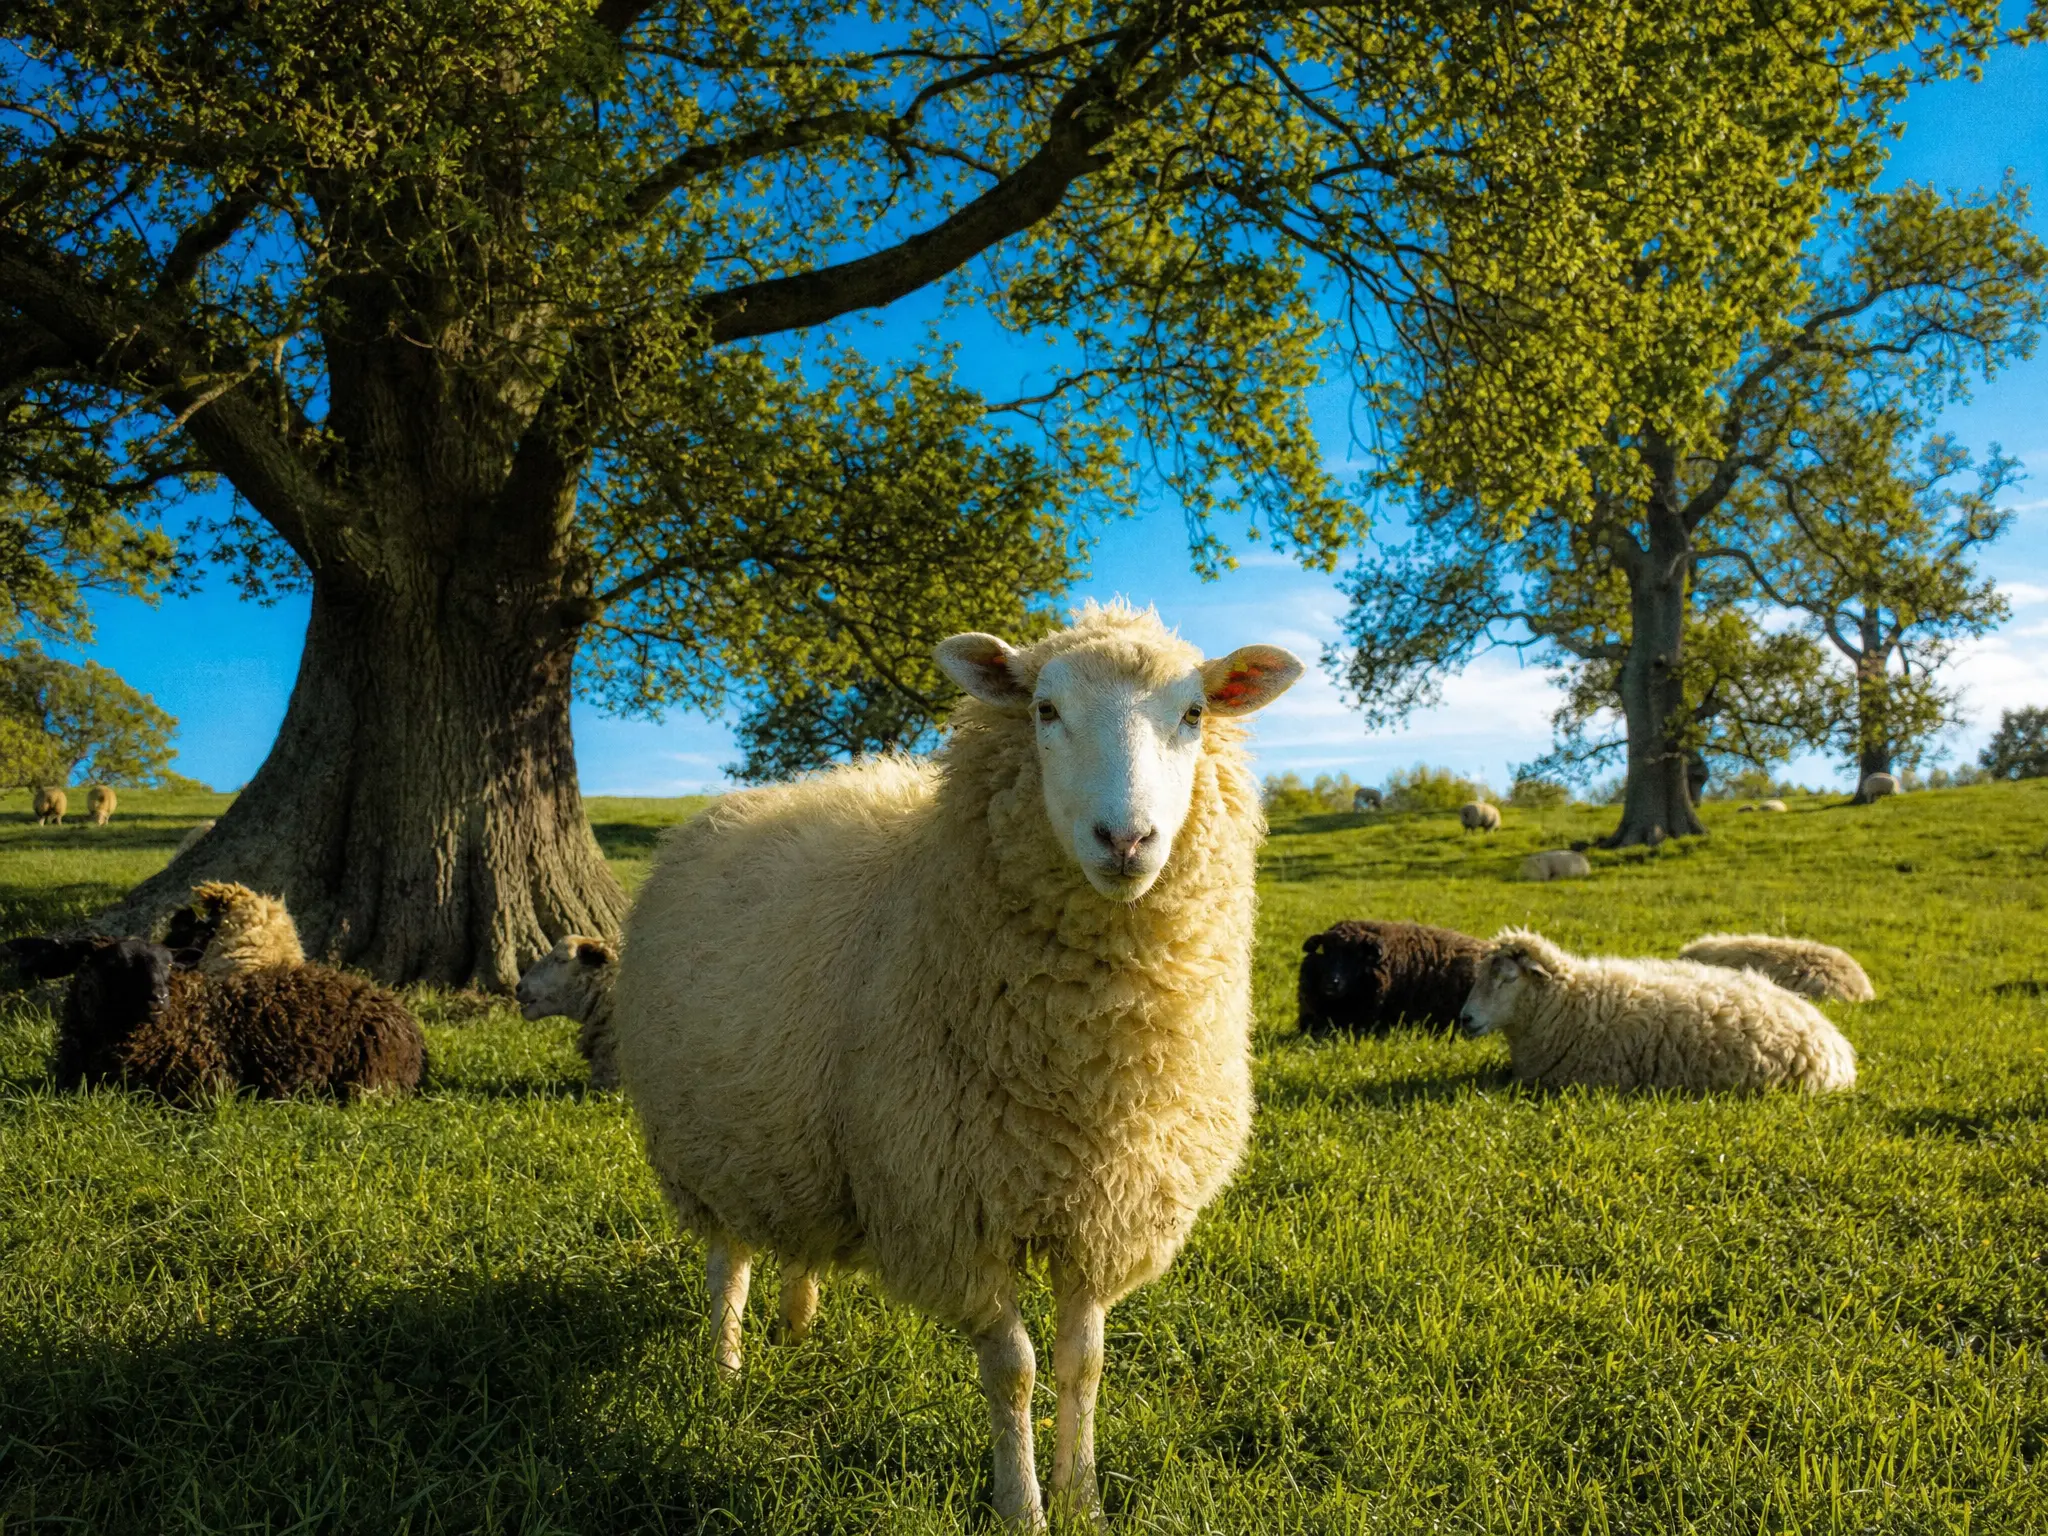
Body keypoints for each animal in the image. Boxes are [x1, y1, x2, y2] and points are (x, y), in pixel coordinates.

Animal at [613, 601, 1301, 1527]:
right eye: (1044, 710)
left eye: (1193, 713)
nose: (1126, 840)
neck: (1088, 1067)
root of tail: (720, 814)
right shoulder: (952, 1210)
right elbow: (1014, 1371)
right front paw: (1023, 1507)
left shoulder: (1104, 1208)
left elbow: (1085, 1362)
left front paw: (1084, 1499)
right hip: (707, 1142)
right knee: (730, 1259)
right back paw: (724, 1373)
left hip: (800, 1134)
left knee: (796, 1238)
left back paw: (798, 1323)